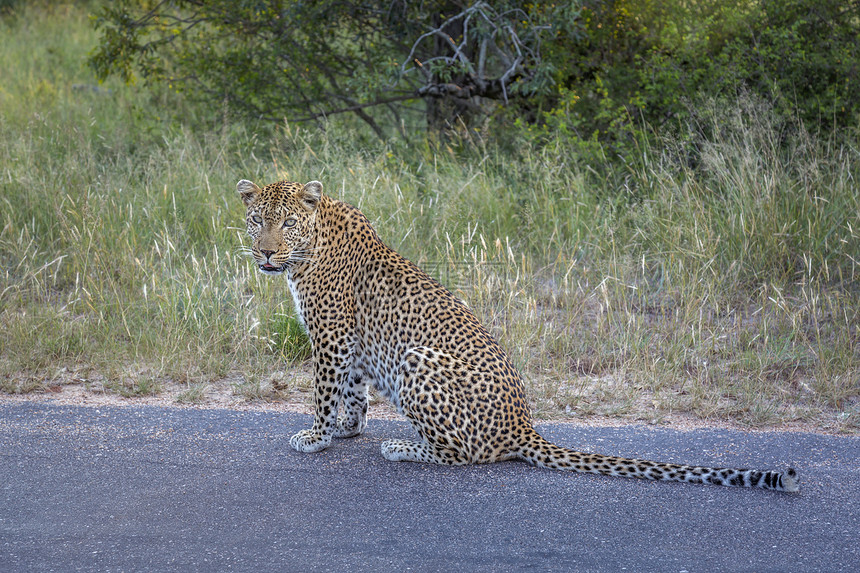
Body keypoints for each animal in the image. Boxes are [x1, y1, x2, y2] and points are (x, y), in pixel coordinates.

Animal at [235, 178, 800, 492]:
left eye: (288, 223)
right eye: (258, 220)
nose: (265, 252)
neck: (309, 247)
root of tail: (523, 426)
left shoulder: (331, 336)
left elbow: (325, 392)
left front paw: (317, 436)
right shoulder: (350, 342)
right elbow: (352, 391)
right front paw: (347, 429)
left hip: (417, 361)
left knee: (464, 454)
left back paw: (402, 446)